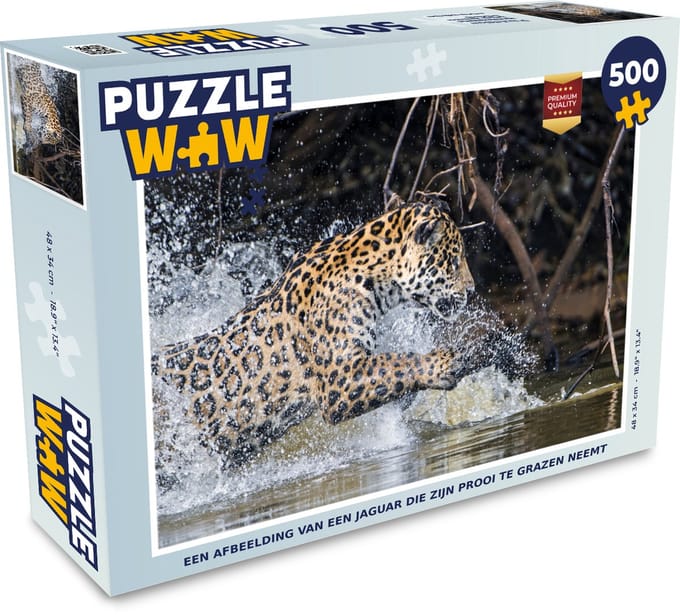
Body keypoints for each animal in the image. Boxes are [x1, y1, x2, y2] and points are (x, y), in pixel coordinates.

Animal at [152, 201, 477, 467]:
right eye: (454, 260)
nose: (472, 289)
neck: (377, 277)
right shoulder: (339, 379)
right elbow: (395, 363)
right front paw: (443, 363)